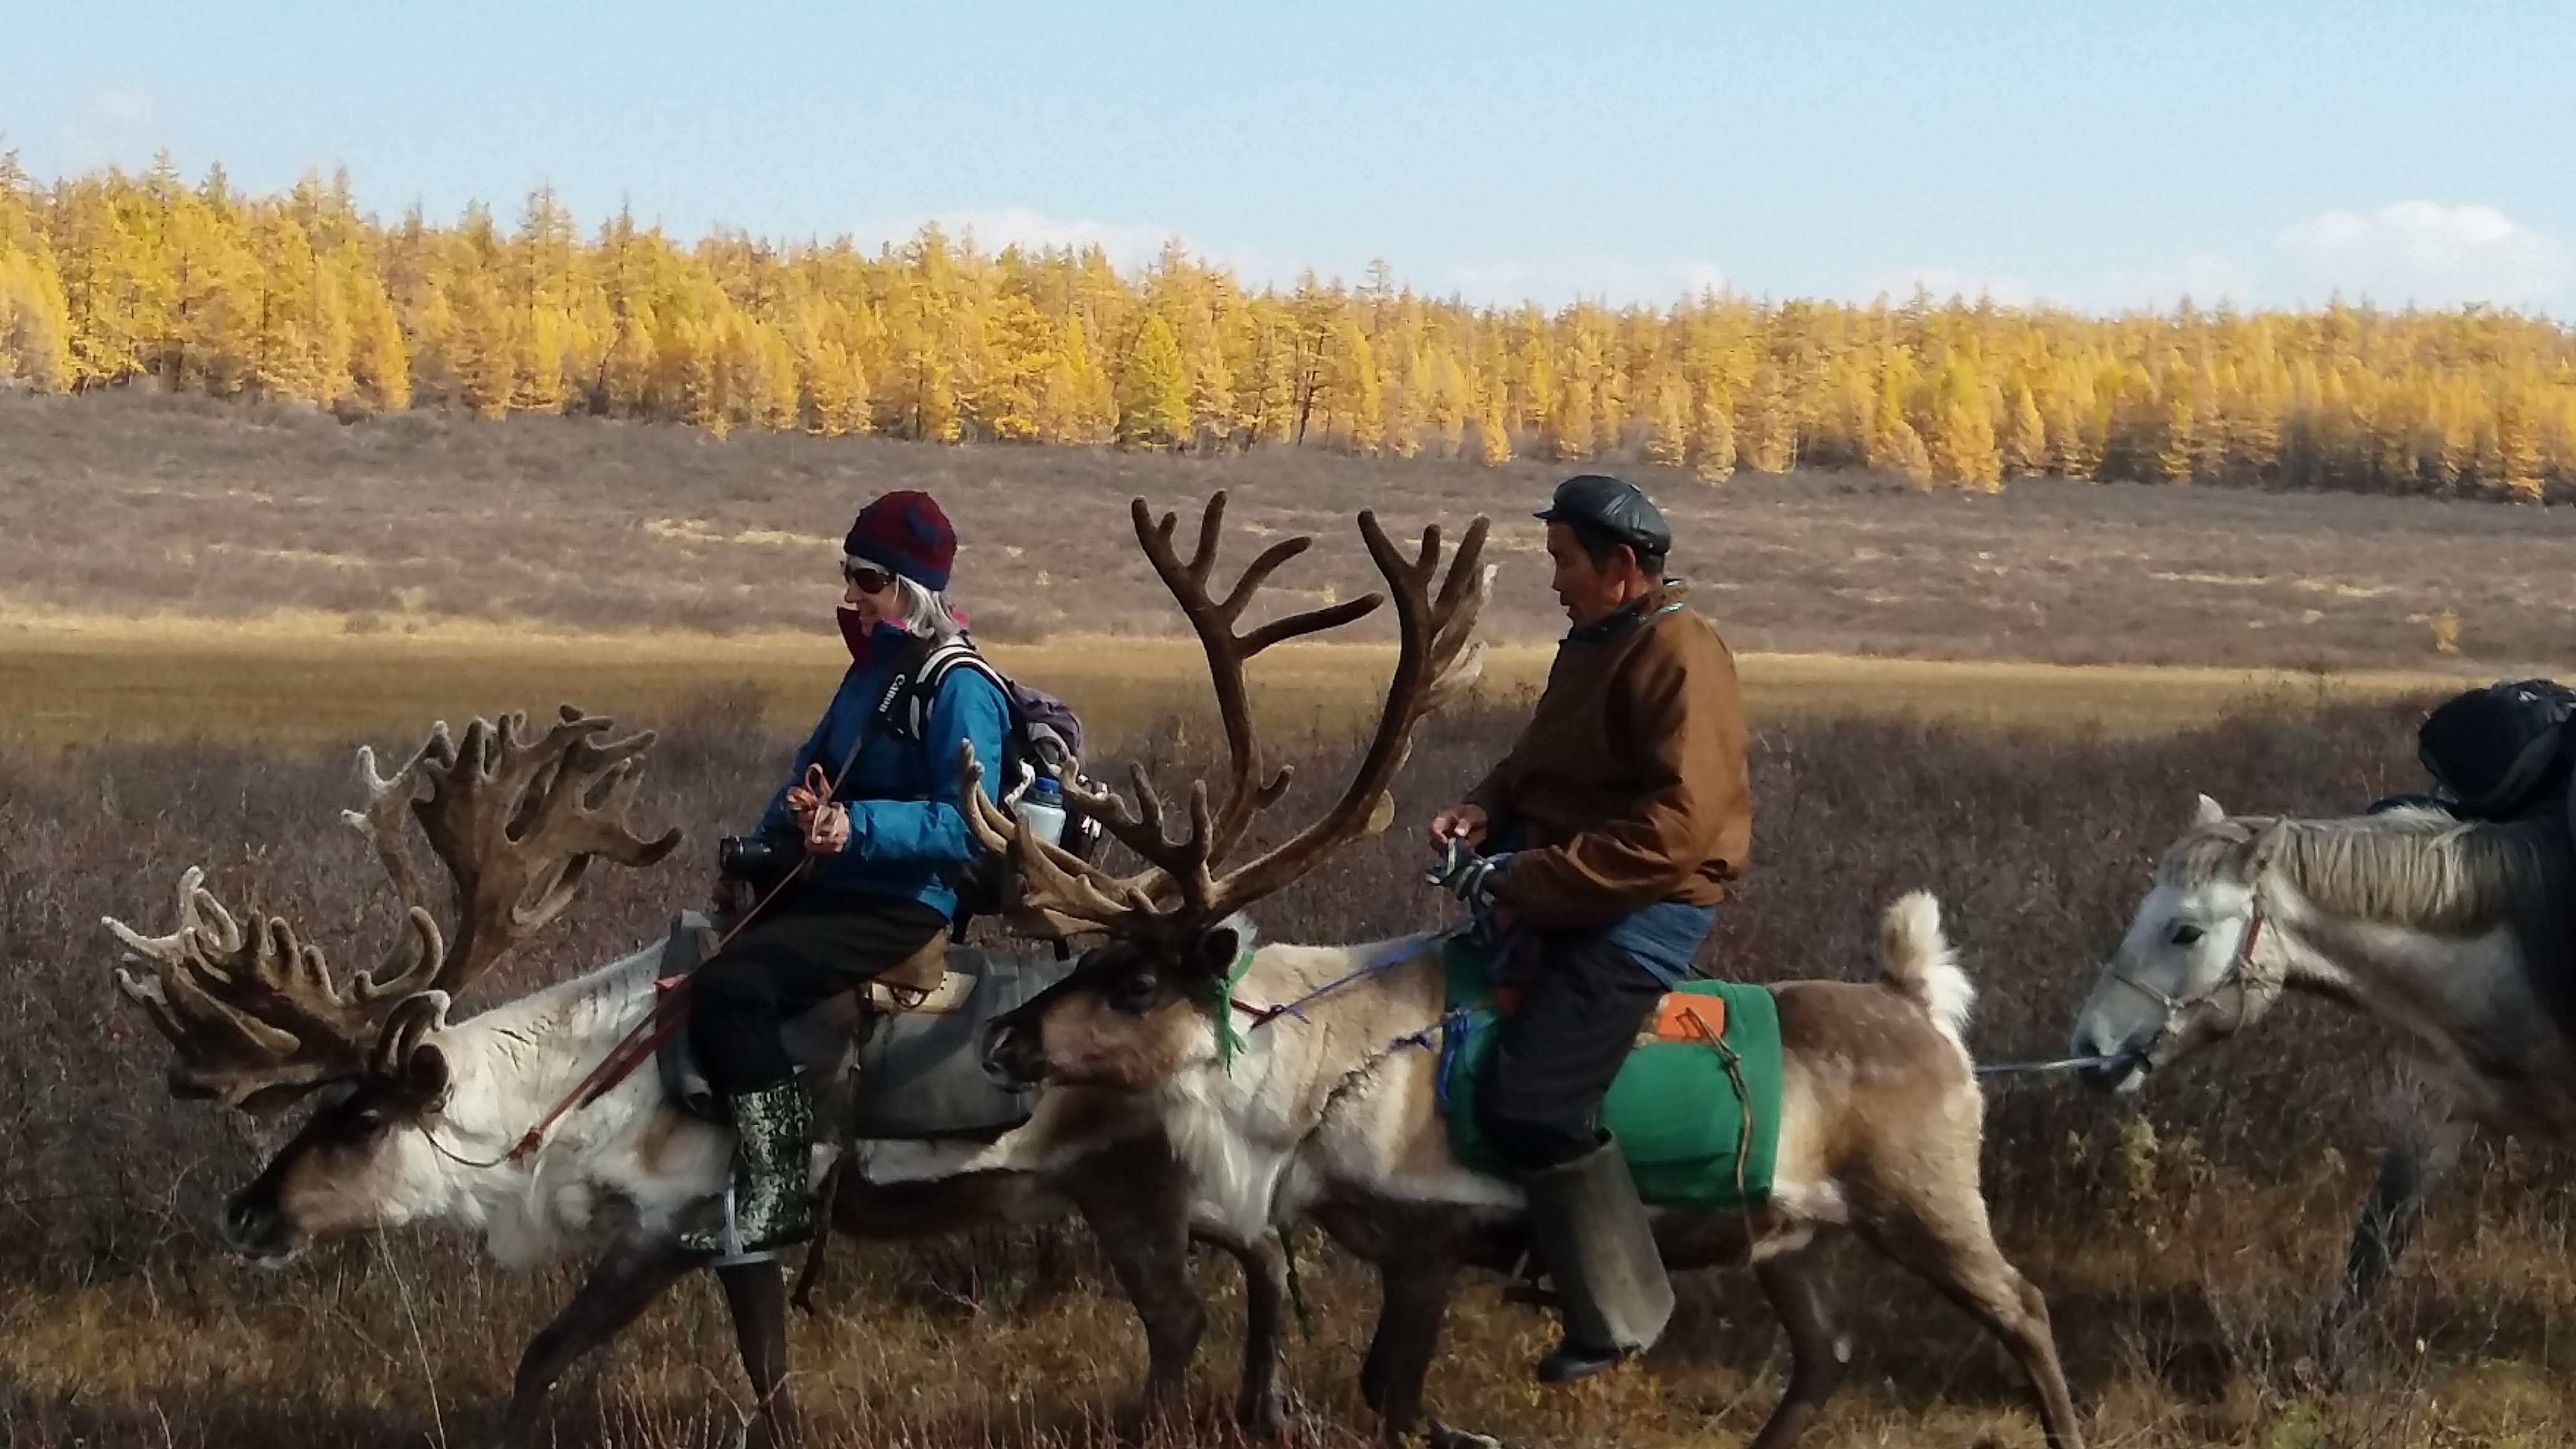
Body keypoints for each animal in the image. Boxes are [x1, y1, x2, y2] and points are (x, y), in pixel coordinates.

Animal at [100, 495, 1425, 1449]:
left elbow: (664, 1370)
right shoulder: (678, 1240)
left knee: (1192, 1309)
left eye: (364, 1114)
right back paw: (1267, 1407)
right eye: (325, 1103)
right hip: (1170, 1189)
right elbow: (586, 1360)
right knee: (1256, 1268)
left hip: (1137, 1189)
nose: (247, 1212)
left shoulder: (699, 1227)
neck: (566, 1097)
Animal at [963, 561, 2086, 1447]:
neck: (1318, 1070)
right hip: (1792, 1235)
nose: (1002, 1037)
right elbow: (1387, 1392)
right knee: (1824, 1357)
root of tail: (1924, 1009)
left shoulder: (1432, 1243)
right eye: (1098, 953)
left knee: (2026, 1309)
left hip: (1925, 1198)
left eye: (1138, 981)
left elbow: (1393, 1393)